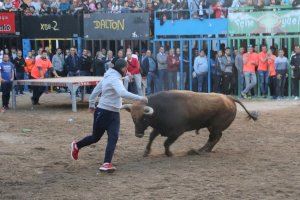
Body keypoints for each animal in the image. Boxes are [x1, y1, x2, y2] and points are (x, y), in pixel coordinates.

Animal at [122, 90, 258, 157]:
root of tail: (229, 98)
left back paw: (198, 151)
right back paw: (204, 150)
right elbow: (151, 137)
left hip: (215, 127)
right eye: (133, 118)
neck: (161, 108)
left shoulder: (176, 132)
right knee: (215, 138)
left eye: (144, 119)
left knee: (214, 138)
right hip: (212, 127)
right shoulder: (159, 128)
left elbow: (166, 143)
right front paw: (146, 152)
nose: (138, 134)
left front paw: (169, 153)